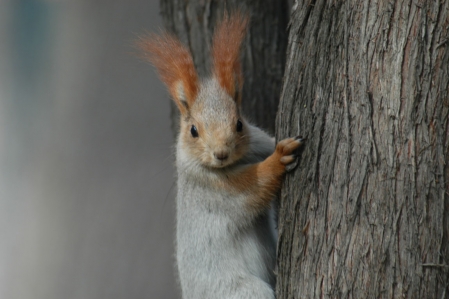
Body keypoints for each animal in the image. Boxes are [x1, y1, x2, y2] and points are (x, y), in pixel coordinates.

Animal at [138, 10, 302, 298]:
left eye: (239, 124)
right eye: (193, 130)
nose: (221, 153)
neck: (235, 163)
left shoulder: (258, 141)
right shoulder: (218, 191)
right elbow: (256, 185)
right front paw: (279, 158)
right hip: (243, 292)